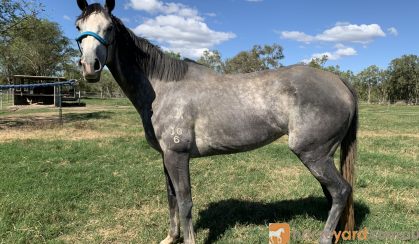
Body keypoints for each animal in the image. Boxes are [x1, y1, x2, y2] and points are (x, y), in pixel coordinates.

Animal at [75, 0, 358, 243]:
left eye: (109, 27)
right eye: (79, 27)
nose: (90, 67)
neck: (162, 88)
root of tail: (338, 82)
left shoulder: (177, 155)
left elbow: (185, 201)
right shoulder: (166, 157)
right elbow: (171, 198)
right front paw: (171, 237)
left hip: (313, 154)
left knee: (340, 191)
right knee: (335, 194)